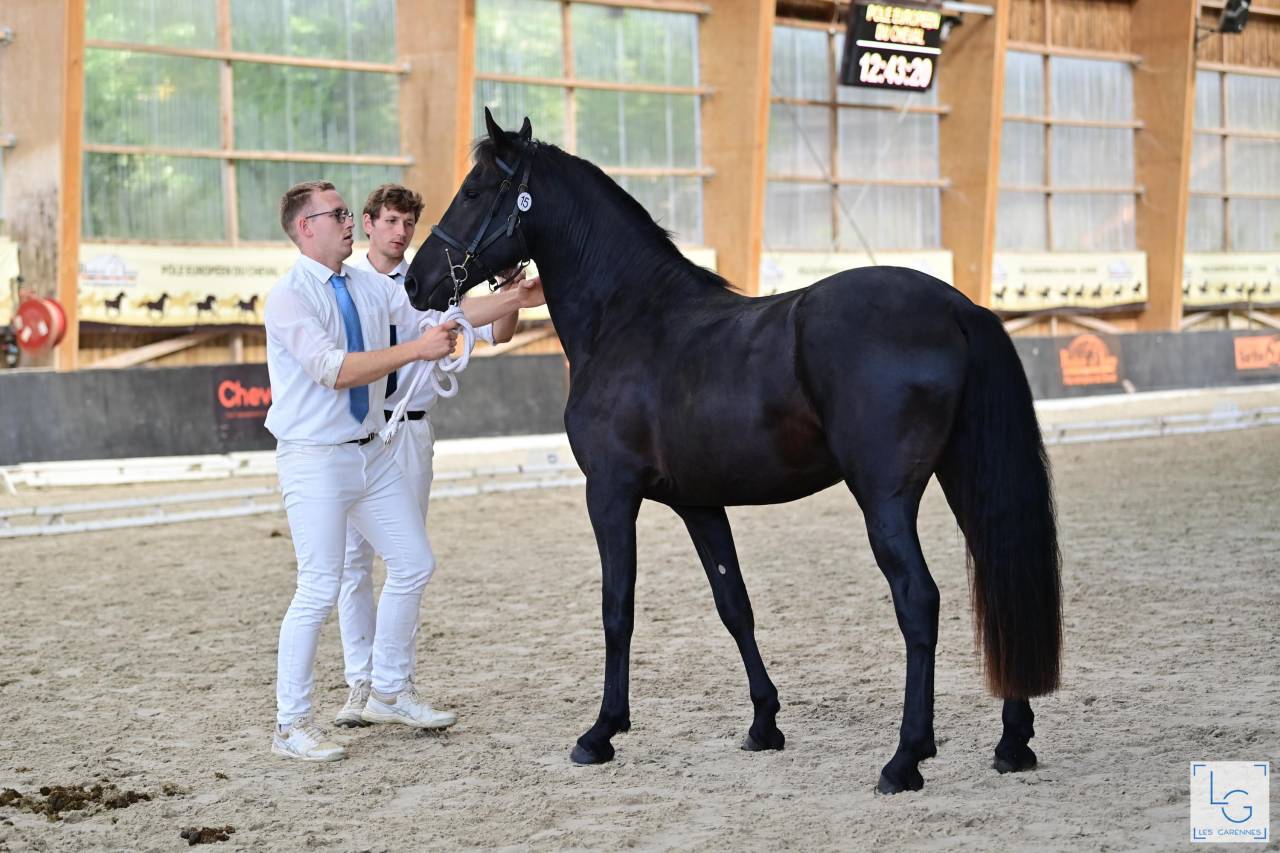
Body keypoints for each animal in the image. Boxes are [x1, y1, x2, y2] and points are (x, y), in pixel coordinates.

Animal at [405, 110, 1062, 795]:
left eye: (473, 191)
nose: (416, 281)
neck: (630, 319)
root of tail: (958, 306)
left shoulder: (609, 493)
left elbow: (618, 608)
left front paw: (601, 731)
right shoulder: (700, 504)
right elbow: (734, 606)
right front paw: (764, 723)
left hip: (884, 498)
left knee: (919, 601)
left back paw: (905, 757)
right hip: (964, 479)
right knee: (999, 577)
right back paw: (1013, 742)